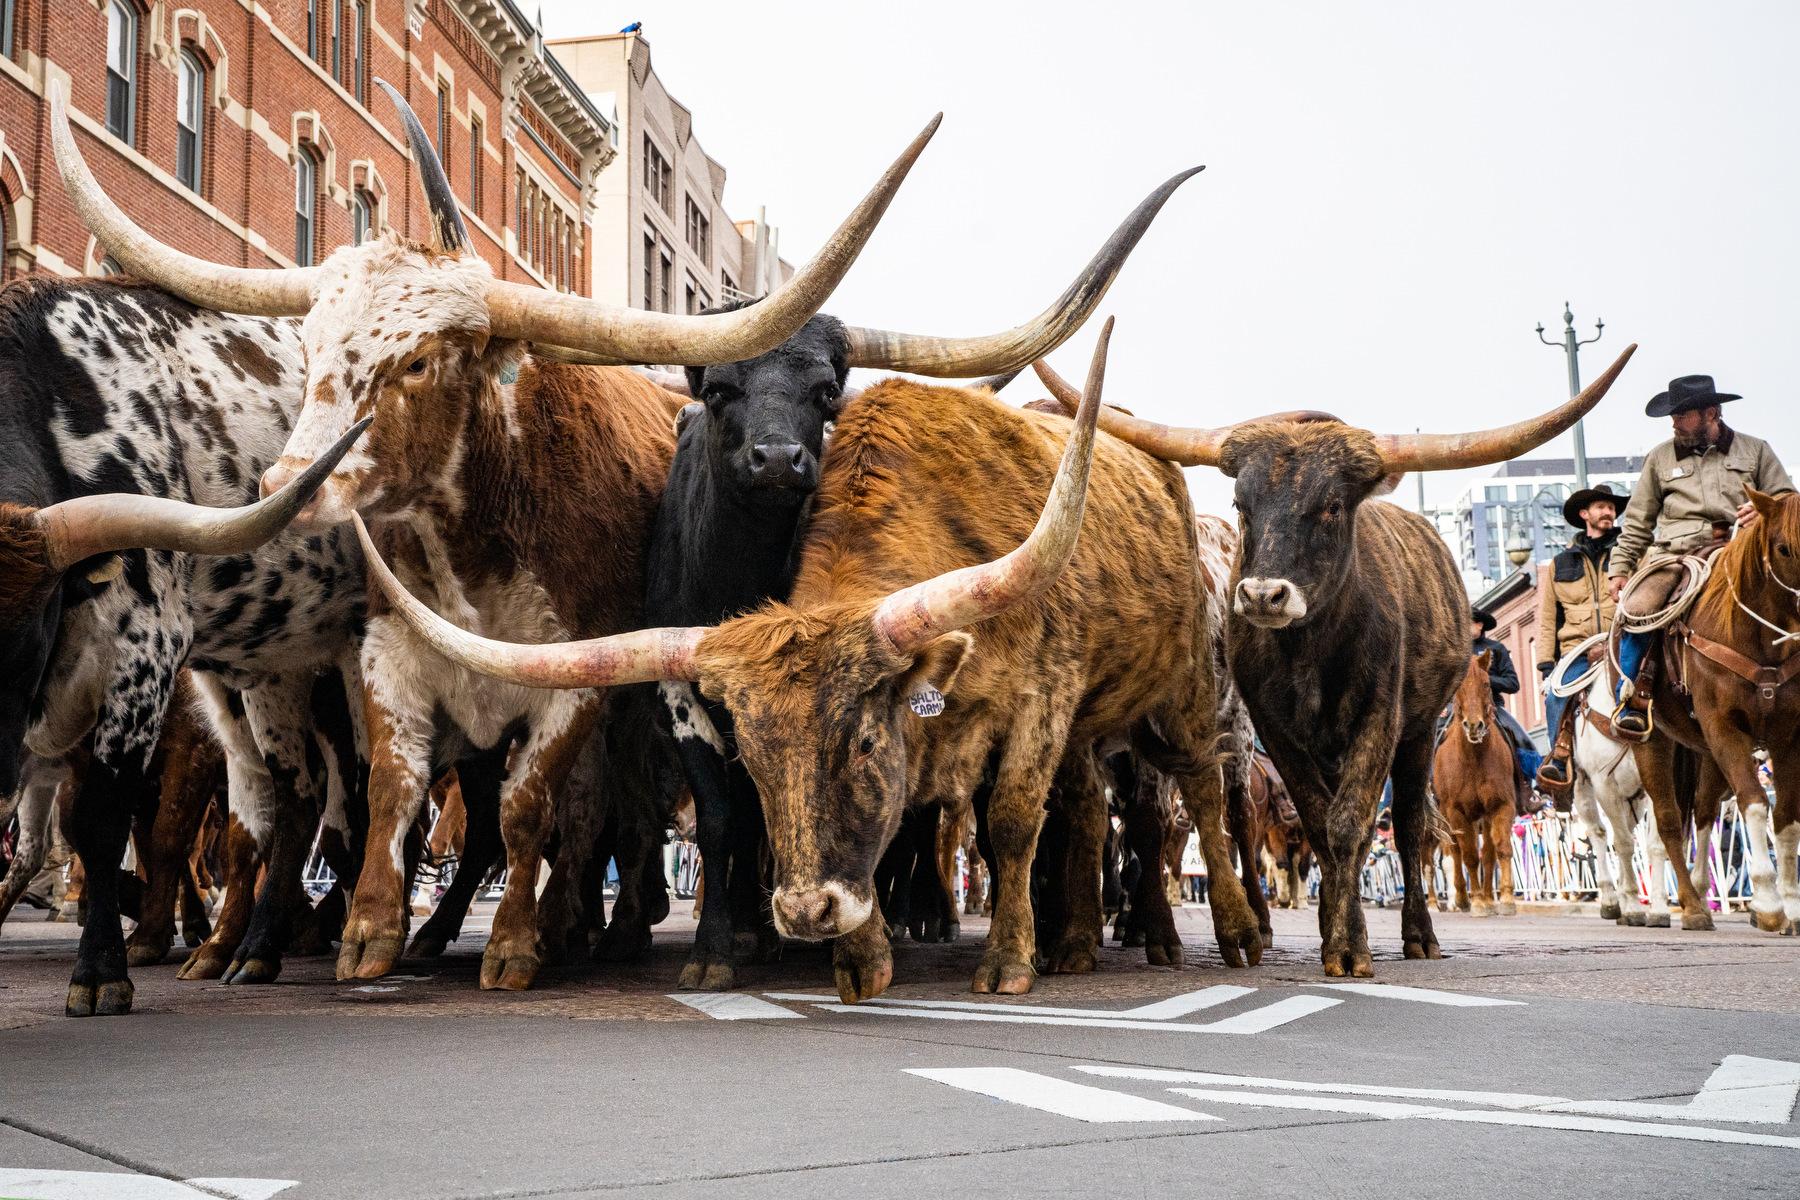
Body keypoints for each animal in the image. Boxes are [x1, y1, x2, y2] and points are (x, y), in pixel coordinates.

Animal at [1432, 651, 1519, 913]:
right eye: (1457, 687)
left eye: (1487, 684)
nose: (1474, 725)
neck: (1474, 758)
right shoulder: (1456, 812)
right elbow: (1468, 854)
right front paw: (1477, 901)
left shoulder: (1501, 806)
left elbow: (1500, 849)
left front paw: (1506, 898)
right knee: (1455, 852)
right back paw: (1462, 897)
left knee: (1487, 853)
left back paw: (1489, 897)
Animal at [1634, 489, 1800, 928]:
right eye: (1784, 548)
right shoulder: (1725, 728)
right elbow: (1755, 803)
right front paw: (1770, 903)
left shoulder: (1787, 735)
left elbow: (1786, 818)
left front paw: (1792, 905)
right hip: (1652, 743)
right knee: (1669, 821)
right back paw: (1688, 907)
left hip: (1705, 753)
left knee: (1704, 811)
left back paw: (1697, 890)